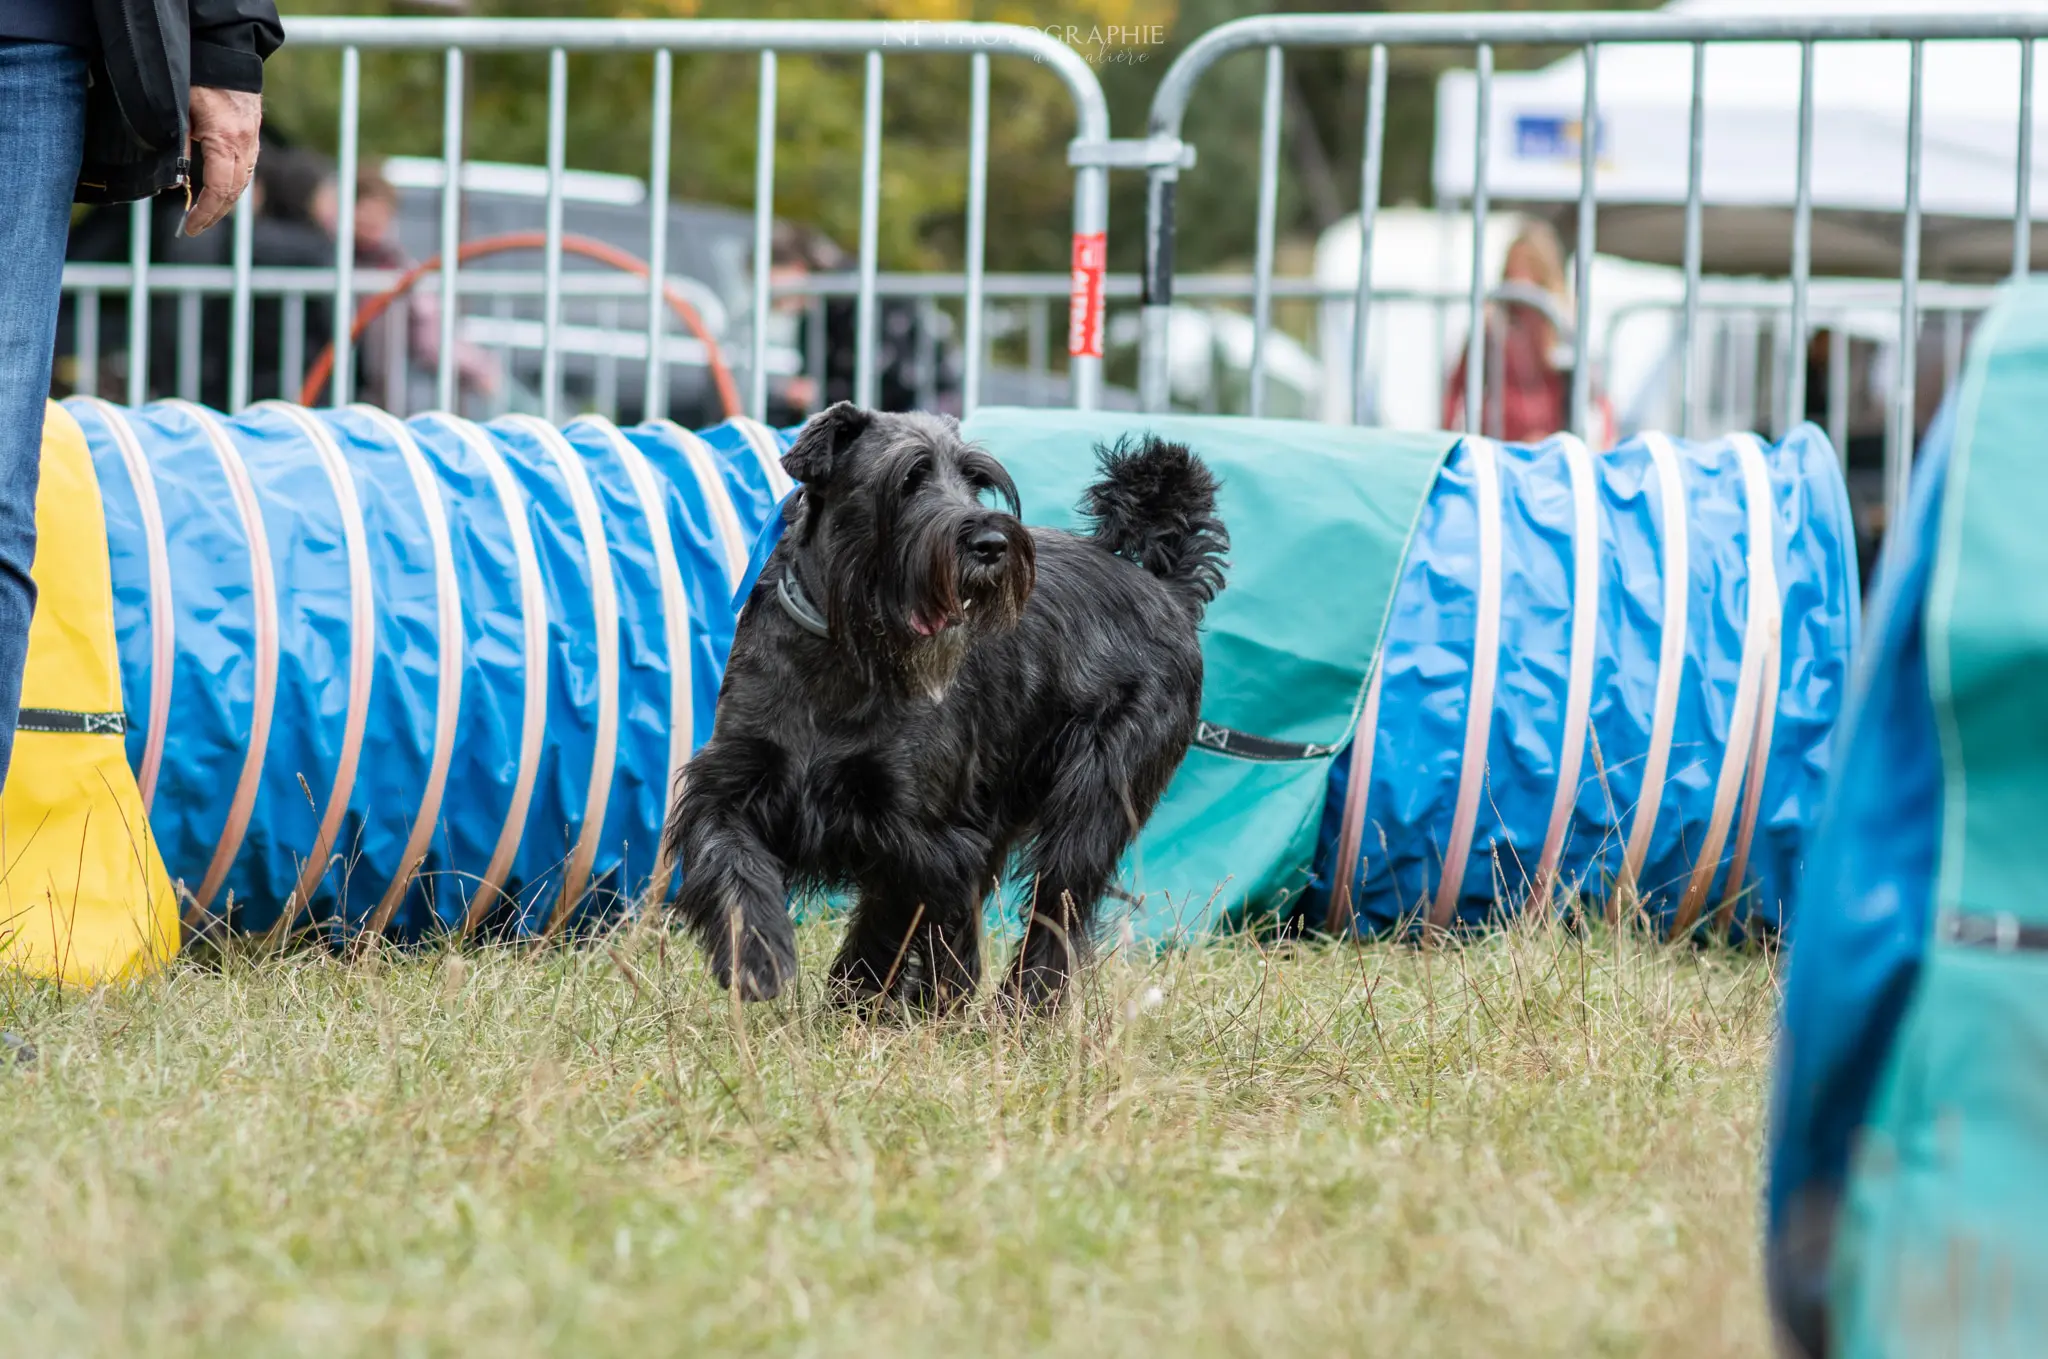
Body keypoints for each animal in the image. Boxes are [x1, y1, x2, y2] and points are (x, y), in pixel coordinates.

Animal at [663, 403, 1220, 1006]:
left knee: (1056, 912)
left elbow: (886, 925)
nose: (992, 543)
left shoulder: (919, 836)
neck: (844, 649)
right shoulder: (732, 785)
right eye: (910, 478)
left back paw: (1015, 1010)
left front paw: (853, 1005)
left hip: (1092, 807)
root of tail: (1166, 592)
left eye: (975, 481)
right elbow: (734, 864)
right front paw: (760, 957)